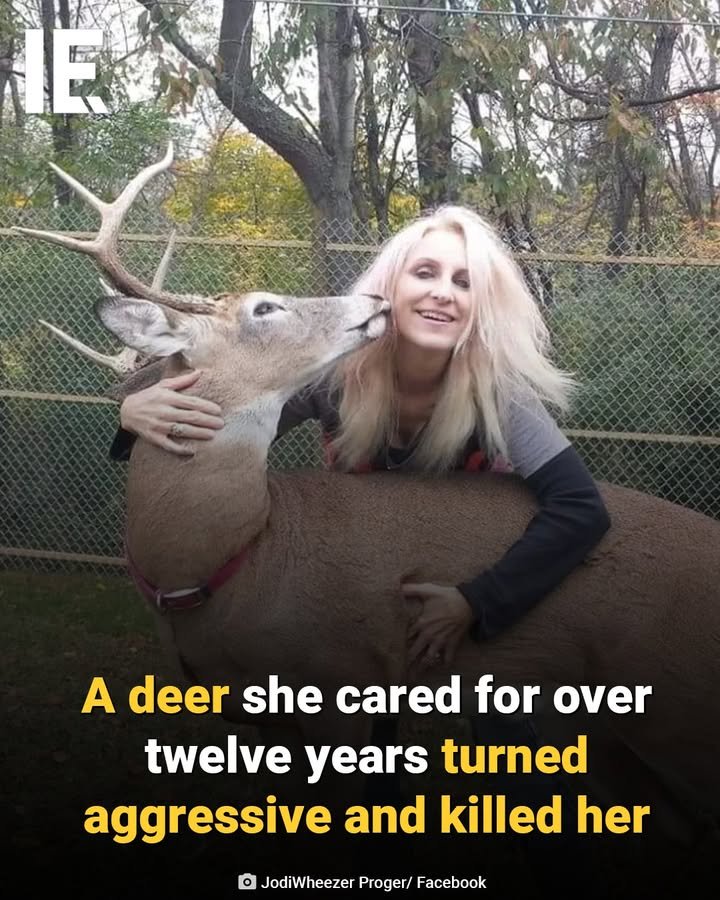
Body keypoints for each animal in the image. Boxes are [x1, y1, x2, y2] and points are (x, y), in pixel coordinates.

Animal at [13, 146, 720, 855]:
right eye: (264, 308)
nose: (376, 297)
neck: (236, 563)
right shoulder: (247, 717)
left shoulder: (343, 679)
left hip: (679, 703)